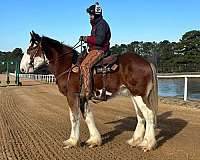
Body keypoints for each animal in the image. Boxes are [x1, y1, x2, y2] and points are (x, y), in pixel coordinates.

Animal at [20, 31, 158, 152]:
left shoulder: (72, 96)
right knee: (140, 115)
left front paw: (72, 141)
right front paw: (94, 140)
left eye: (31, 49)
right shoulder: (83, 97)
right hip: (134, 95)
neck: (69, 65)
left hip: (139, 95)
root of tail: (146, 62)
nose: (21, 68)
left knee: (149, 114)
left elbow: (74, 117)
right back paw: (135, 140)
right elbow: (88, 116)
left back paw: (147, 143)